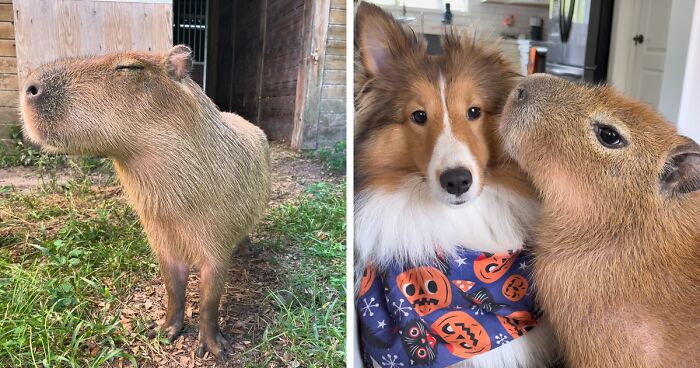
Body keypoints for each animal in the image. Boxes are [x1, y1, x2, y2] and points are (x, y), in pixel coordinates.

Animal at [19, 45, 270, 360]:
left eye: (129, 67)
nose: (29, 86)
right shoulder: (161, 238)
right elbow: (173, 287)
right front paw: (164, 331)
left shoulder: (216, 243)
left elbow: (210, 298)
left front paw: (215, 348)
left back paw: (249, 250)